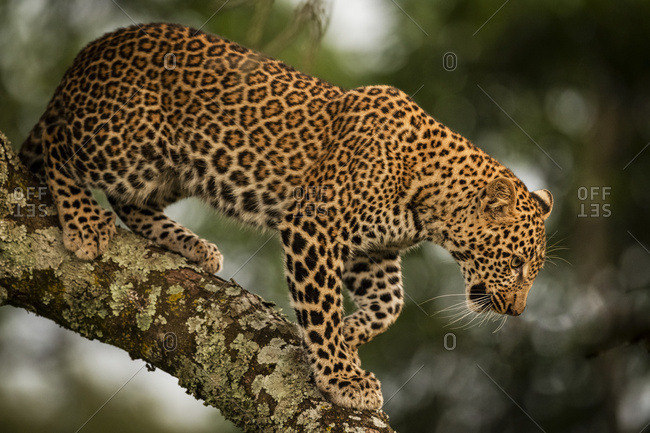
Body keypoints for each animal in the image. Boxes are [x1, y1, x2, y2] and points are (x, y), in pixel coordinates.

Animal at [19, 23, 554, 411]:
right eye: (516, 264)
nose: (517, 311)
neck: (430, 205)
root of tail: (91, 51)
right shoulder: (314, 224)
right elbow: (322, 304)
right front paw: (341, 375)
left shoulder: (371, 252)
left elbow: (390, 303)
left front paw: (350, 337)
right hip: (126, 142)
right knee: (60, 146)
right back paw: (84, 224)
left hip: (169, 170)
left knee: (130, 202)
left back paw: (192, 245)